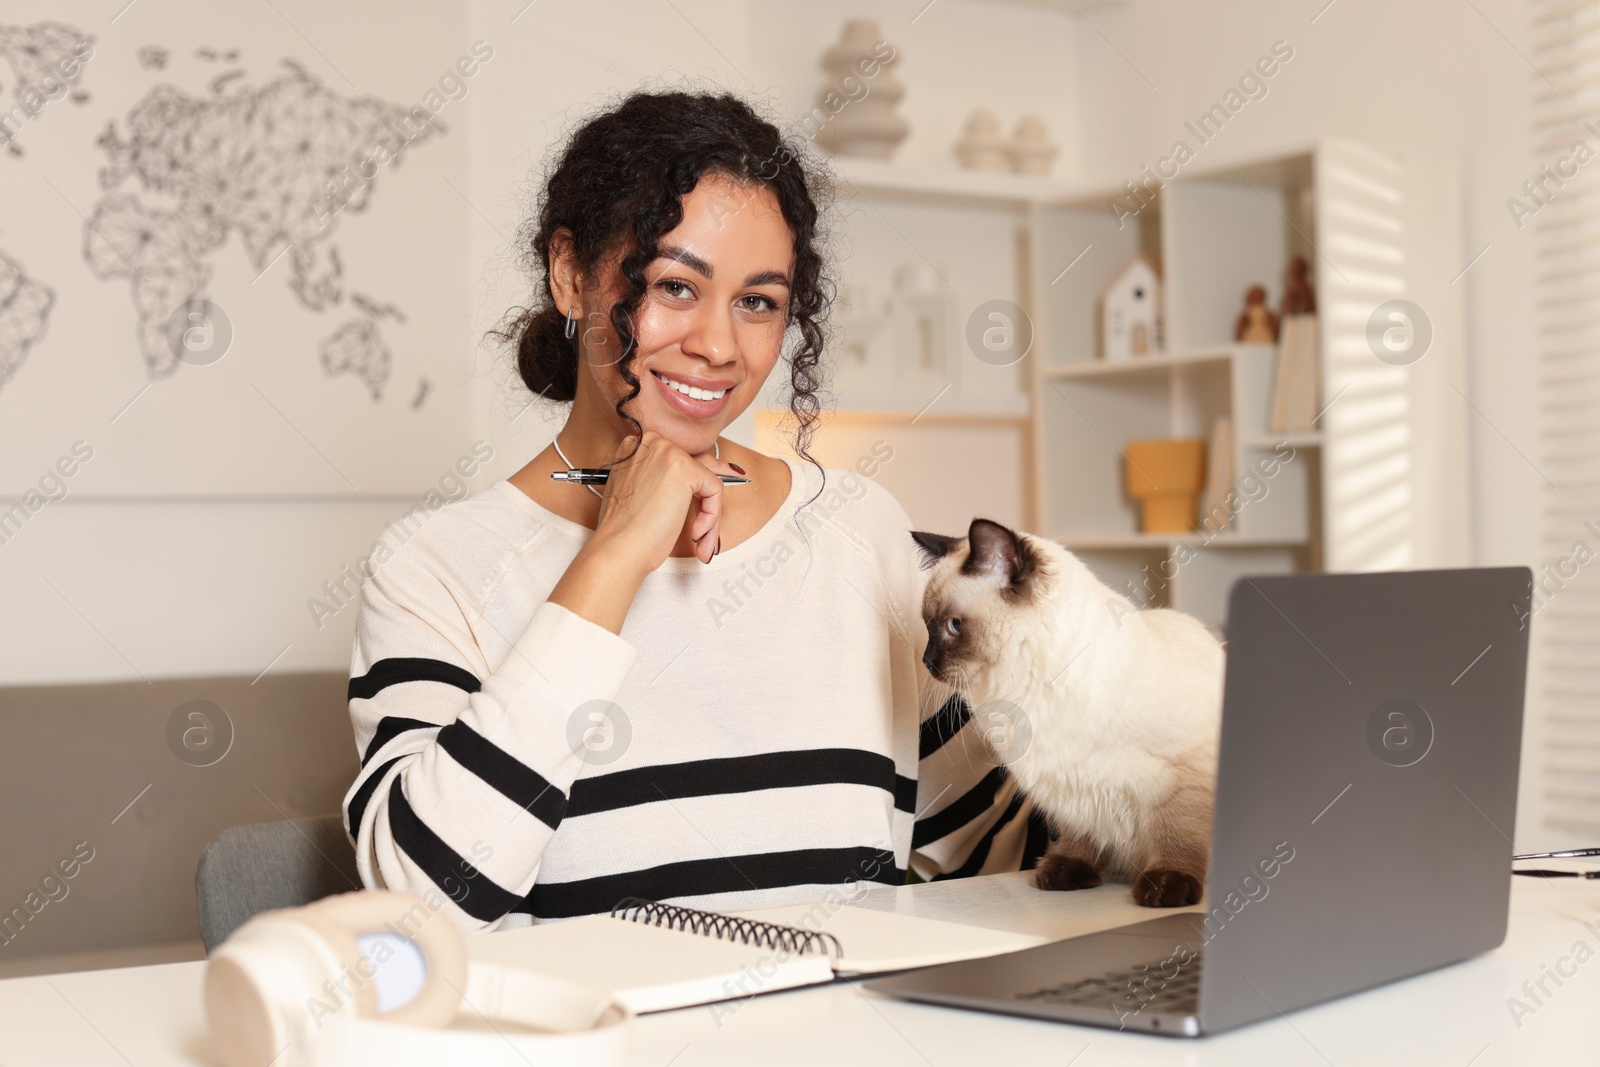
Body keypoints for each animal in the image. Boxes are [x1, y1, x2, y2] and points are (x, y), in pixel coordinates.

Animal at [915, 518, 1222, 908]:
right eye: (926, 625)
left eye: (954, 626)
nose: (927, 661)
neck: (1031, 689)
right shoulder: (1067, 784)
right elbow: (1080, 837)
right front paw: (1065, 875)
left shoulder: (1184, 779)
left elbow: (1178, 837)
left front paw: (1167, 888)